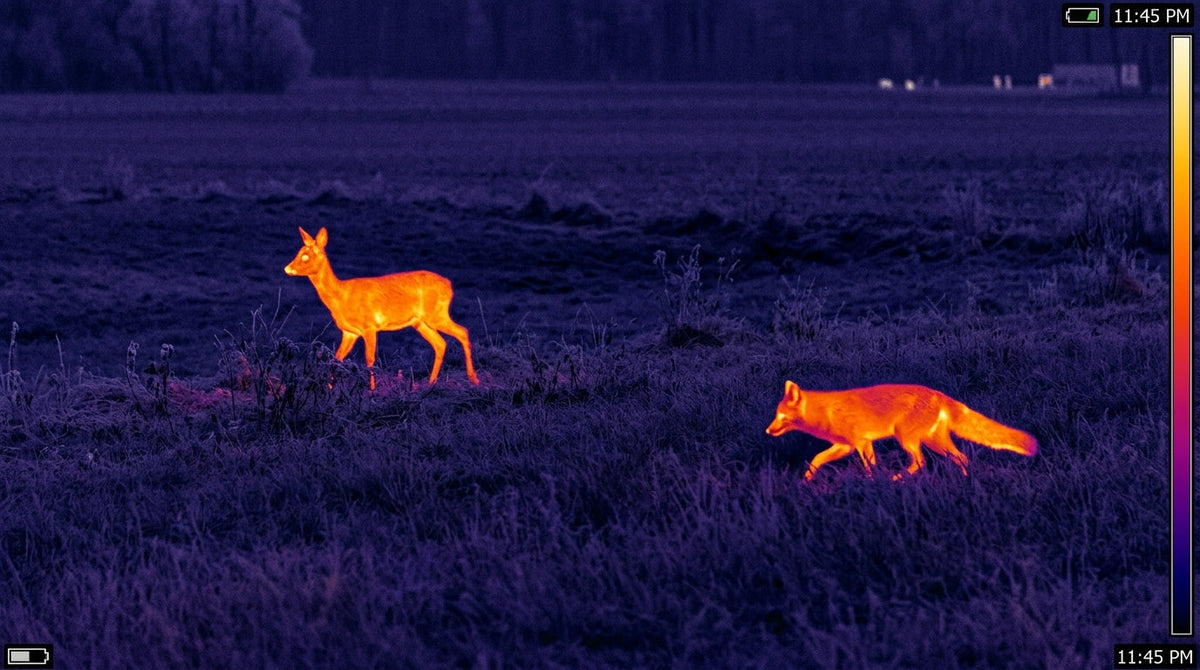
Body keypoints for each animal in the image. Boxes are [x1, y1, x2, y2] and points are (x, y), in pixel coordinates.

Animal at [284, 226, 479, 389]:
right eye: (299, 252)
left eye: (306, 256)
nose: (287, 268)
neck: (341, 297)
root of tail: (449, 285)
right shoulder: (349, 332)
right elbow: (336, 359)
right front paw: (329, 389)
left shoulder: (369, 326)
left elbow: (370, 360)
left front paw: (371, 390)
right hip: (421, 322)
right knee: (440, 343)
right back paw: (431, 382)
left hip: (436, 314)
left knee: (463, 331)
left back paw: (473, 379)